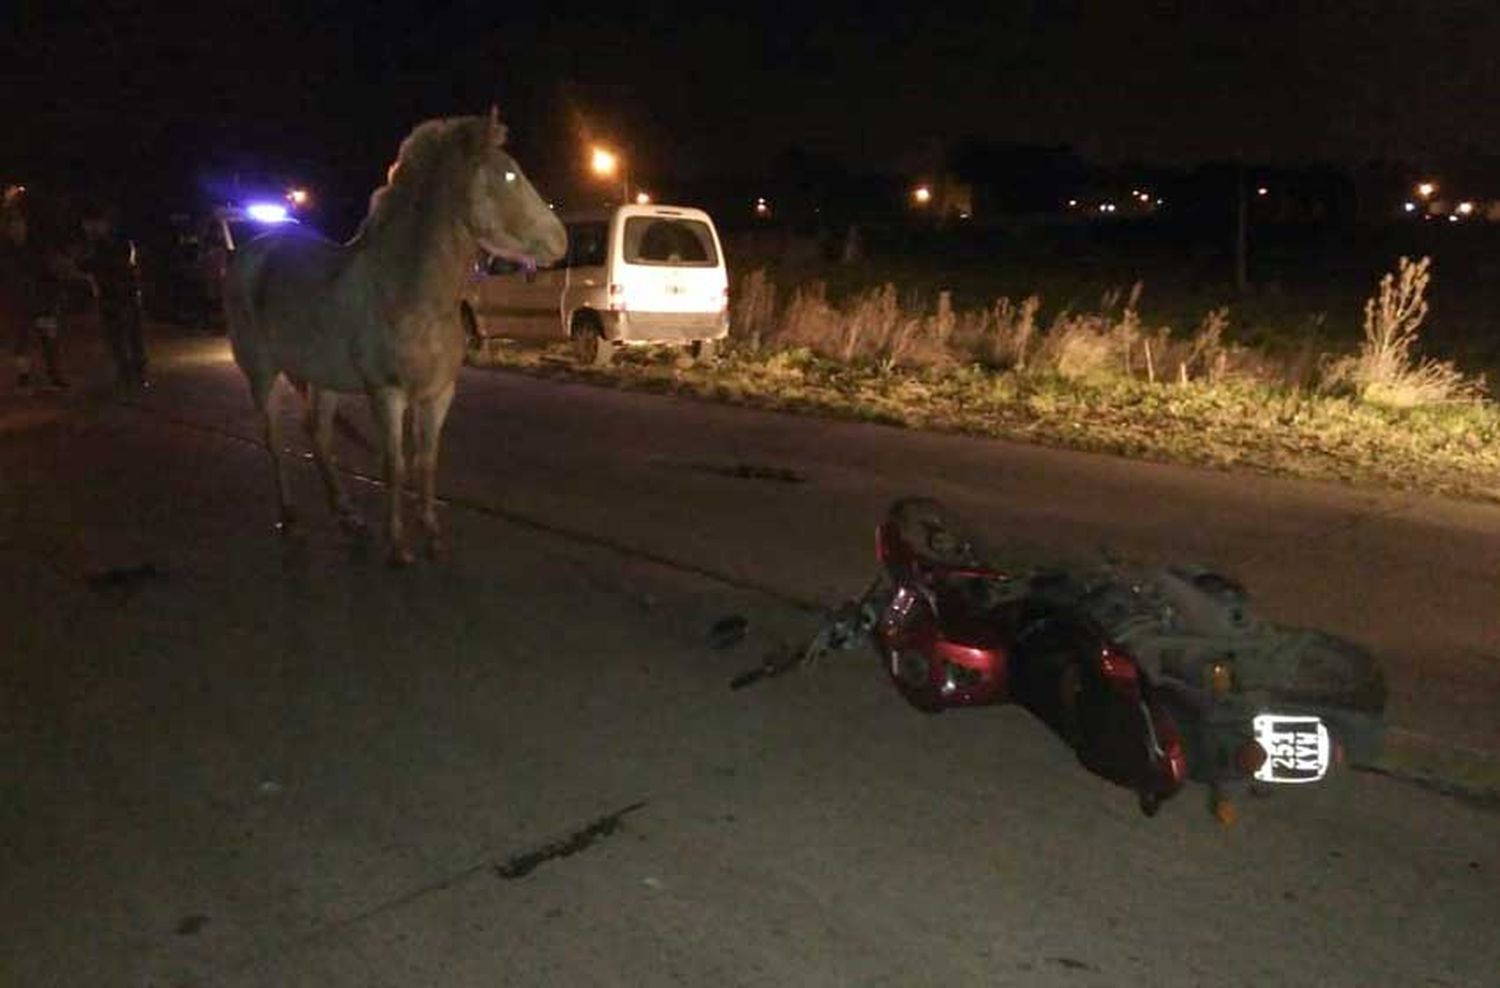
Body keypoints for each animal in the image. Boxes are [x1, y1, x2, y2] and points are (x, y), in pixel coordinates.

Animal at [225, 110, 564, 563]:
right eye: (509, 175)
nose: (561, 241)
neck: (409, 294)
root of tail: (246, 253)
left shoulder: (439, 394)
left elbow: (426, 461)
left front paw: (432, 534)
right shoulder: (387, 393)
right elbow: (394, 465)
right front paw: (399, 545)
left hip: (321, 378)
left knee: (319, 436)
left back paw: (348, 517)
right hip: (261, 373)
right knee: (274, 439)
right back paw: (291, 519)